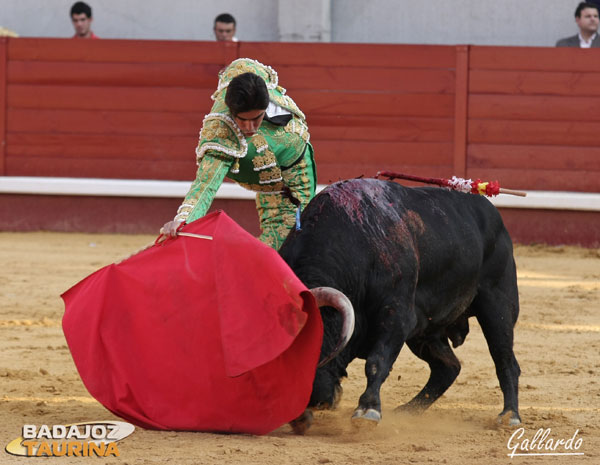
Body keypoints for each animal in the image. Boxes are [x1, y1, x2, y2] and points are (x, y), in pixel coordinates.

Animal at [280, 178, 520, 432]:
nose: (316, 400)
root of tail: (491, 212)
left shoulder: (397, 315)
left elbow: (377, 361)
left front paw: (368, 410)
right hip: (426, 331)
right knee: (448, 367)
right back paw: (408, 411)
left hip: (497, 305)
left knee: (505, 360)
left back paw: (510, 415)